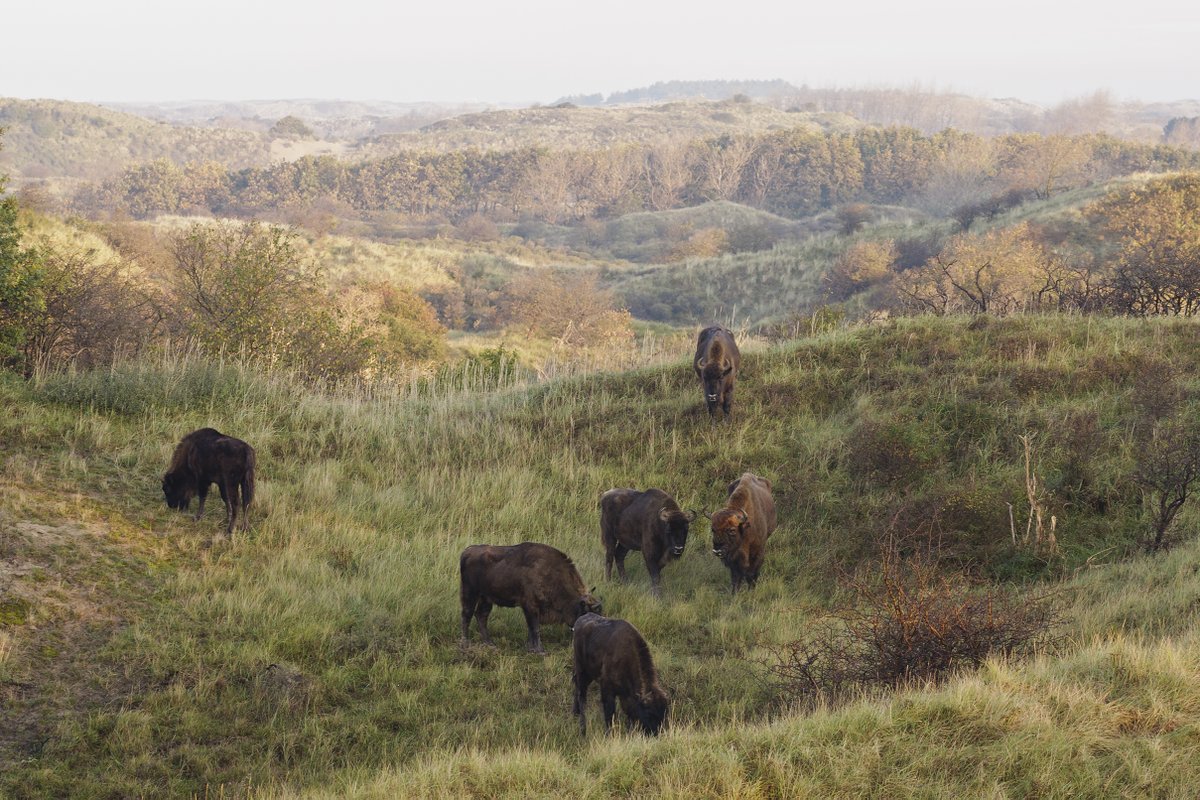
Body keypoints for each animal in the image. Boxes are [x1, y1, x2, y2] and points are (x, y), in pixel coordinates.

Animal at [459, 542, 602, 654]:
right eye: (586, 612)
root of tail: (467, 551)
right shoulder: (530, 606)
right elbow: (535, 628)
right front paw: (540, 651)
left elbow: (531, 628)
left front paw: (530, 648)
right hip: (470, 594)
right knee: (467, 615)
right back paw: (465, 644)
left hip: (486, 599)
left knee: (481, 616)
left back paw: (490, 644)